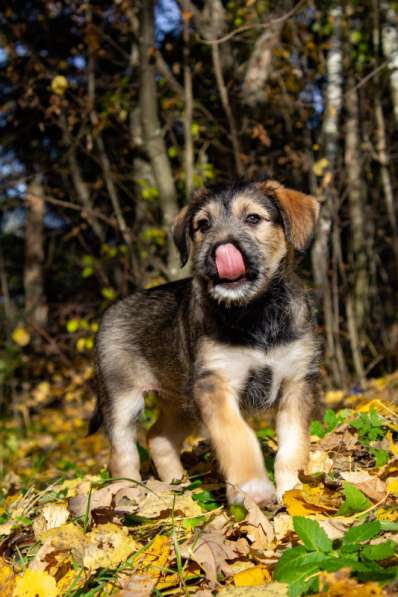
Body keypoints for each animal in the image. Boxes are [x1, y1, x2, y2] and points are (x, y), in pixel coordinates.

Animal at [91, 178, 320, 502]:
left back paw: (177, 487)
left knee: (158, 437)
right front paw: (252, 488)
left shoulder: (297, 381)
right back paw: (129, 495)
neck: (256, 315)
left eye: (253, 218)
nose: (219, 250)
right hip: (122, 400)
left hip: (181, 402)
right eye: (202, 225)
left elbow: (293, 446)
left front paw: (293, 493)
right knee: (122, 454)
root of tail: (109, 313)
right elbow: (238, 436)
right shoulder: (214, 383)